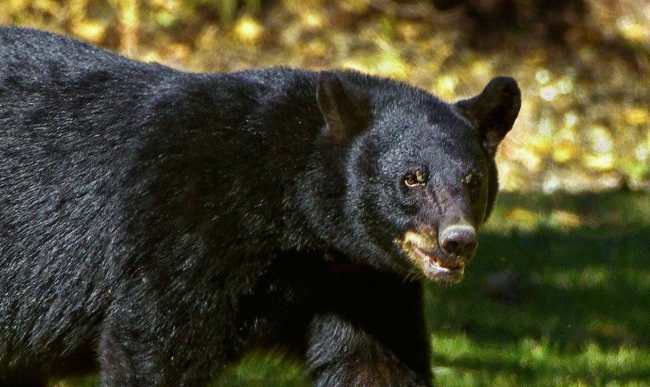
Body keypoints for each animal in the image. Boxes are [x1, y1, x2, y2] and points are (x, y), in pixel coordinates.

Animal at [0, 28, 516, 387]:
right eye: (412, 178)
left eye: (474, 182)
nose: (457, 241)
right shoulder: (182, 223)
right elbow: (154, 344)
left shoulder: (361, 277)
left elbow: (375, 361)